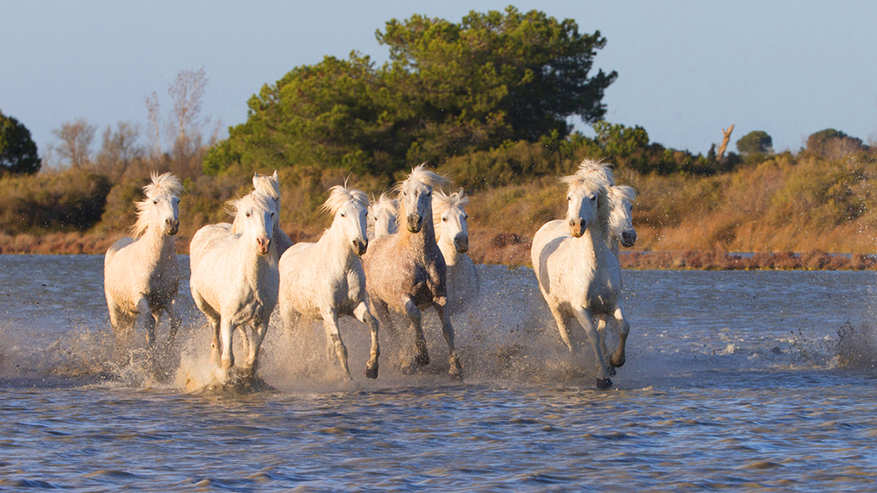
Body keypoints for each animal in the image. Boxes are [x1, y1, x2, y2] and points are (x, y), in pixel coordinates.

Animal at [104, 172, 183, 354]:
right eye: (155, 201)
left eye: (177, 200)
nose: (172, 224)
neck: (157, 262)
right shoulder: (141, 297)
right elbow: (149, 322)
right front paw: (150, 352)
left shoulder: (168, 298)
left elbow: (175, 321)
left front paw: (165, 351)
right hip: (114, 306)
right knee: (119, 331)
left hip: (148, 309)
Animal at [189, 191, 279, 380]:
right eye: (248, 214)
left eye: (272, 213)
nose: (263, 243)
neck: (251, 280)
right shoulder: (228, 320)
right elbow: (228, 359)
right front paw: (224, 380)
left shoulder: (262, 322)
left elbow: (252, 360)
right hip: (204, 305)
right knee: (215, 328)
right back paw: (214, 357)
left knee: (243, 333)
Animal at [278, 183, 380, 381]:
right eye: (343, 214)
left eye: (365, 213)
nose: (360, 244)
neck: (343, 267)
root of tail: (288, 251)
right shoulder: (330, 311)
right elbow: (341, 347)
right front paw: (348, 380)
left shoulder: (355, 306)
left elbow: (373, 324)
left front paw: (371, 368)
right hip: (290, 313)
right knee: (290, 340)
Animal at [362, 164, 462, 378]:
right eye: (405, 192)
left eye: (428, 193)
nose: (414, 221)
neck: (420, 259)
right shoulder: (404, 298)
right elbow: (415, 315)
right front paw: (421, 356)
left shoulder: (440, 296)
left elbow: (447, 329)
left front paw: (455, 367)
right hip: (378, 302)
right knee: (390, 330)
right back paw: (387, 365)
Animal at [530, 171, 630, 389]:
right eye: (569, 197)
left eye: (593, 197)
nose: (577, 225)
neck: (595, 266)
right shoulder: (581, 309)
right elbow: (593, 335)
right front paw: (602, 377)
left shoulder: (612, 303)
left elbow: (623, 327)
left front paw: (616, 360)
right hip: (559, 312)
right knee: (570, 340)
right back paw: (575, 367)